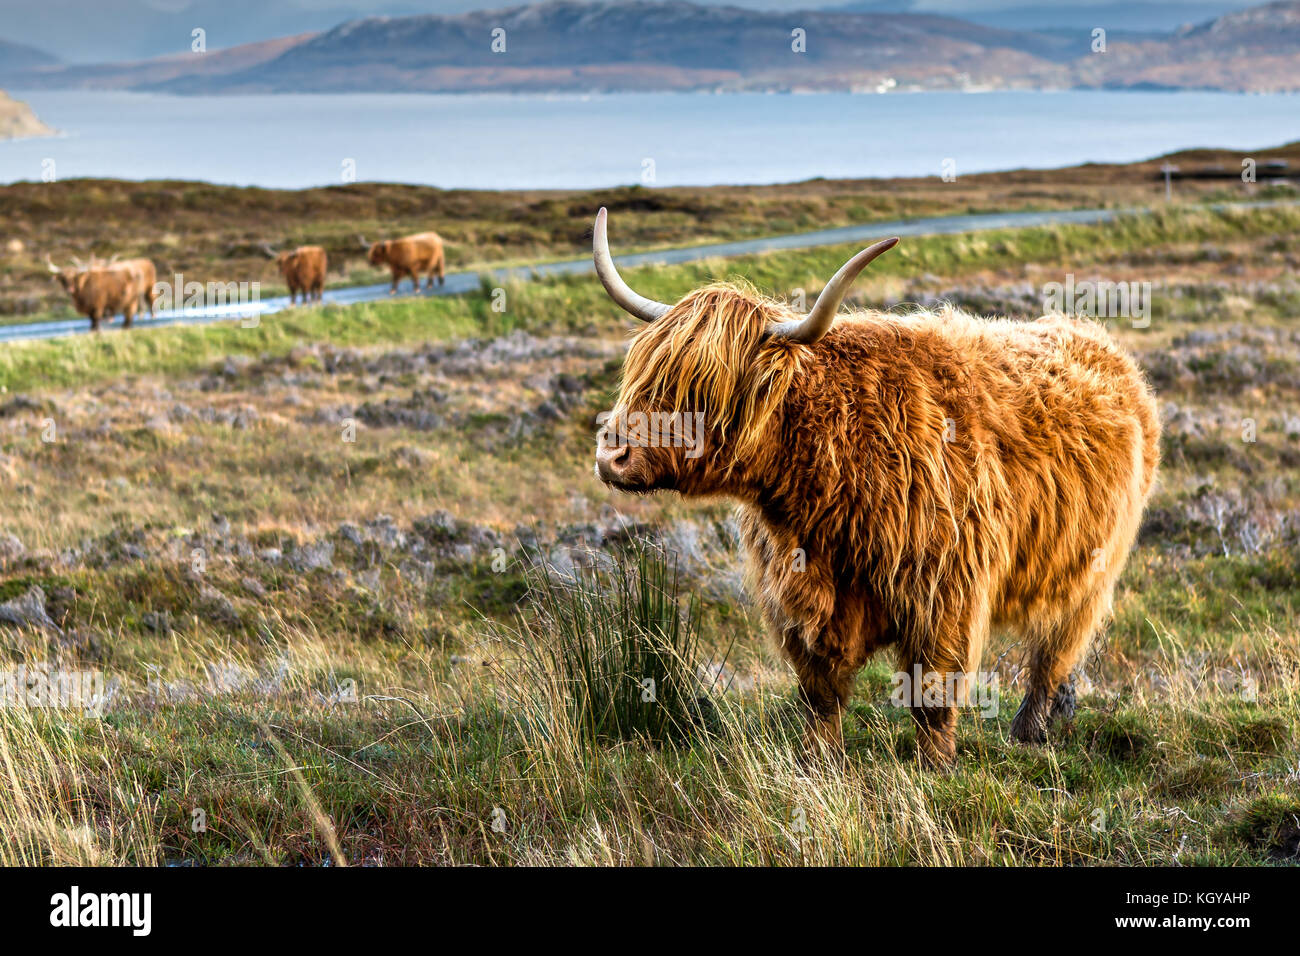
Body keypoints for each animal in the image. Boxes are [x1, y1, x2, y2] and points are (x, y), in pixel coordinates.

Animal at [590, 205, 1159, 764]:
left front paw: (936, 767)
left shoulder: (945, 592)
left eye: (703, 388)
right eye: (641, 373)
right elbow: (820, 693)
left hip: (1091, 570)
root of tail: (1097, 341)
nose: (612, 455)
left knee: (1054, 650)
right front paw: (820, 760)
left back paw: (1030, 729)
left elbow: (933, 692)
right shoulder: (801, 600)